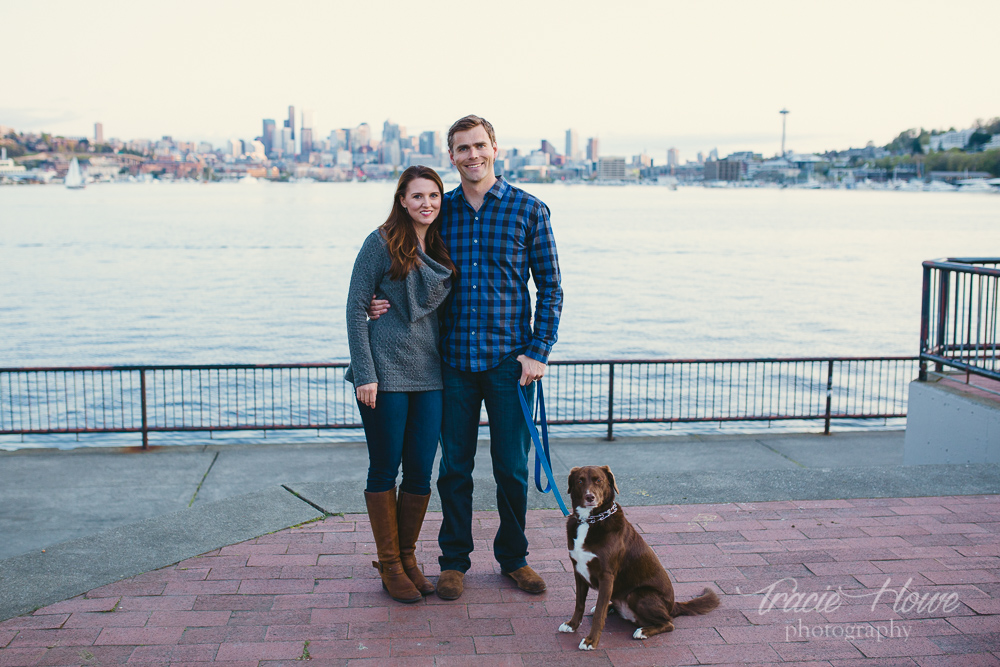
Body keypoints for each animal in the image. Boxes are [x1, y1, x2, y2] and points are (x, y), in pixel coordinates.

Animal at [564, 468, 720, 648]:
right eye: (580, 481)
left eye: (599, 480)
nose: (590, 497)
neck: (589, 520)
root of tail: (672, 606)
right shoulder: (578, 571)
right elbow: (579, 604)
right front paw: (572, 625)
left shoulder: (607, 576)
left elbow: (598, 617)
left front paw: (591, 641)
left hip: (638, 594)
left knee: (669, 623)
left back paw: (643, 631)